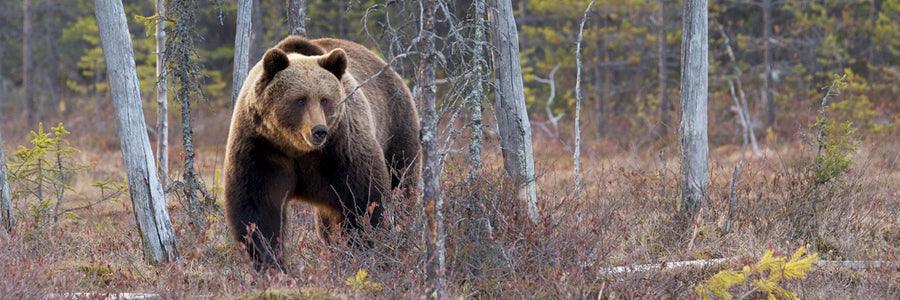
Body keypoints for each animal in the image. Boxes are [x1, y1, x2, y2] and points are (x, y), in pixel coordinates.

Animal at [225, 36, 422, 268]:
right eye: (300, 99)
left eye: (325, 99)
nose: (319, 130)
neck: (298, 149)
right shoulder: (261, 147)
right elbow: (258, 209)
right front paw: (269, 260)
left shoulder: (341, 148)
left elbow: (364, 200)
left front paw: (363, 249)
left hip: (396, 129)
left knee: (402, 185)